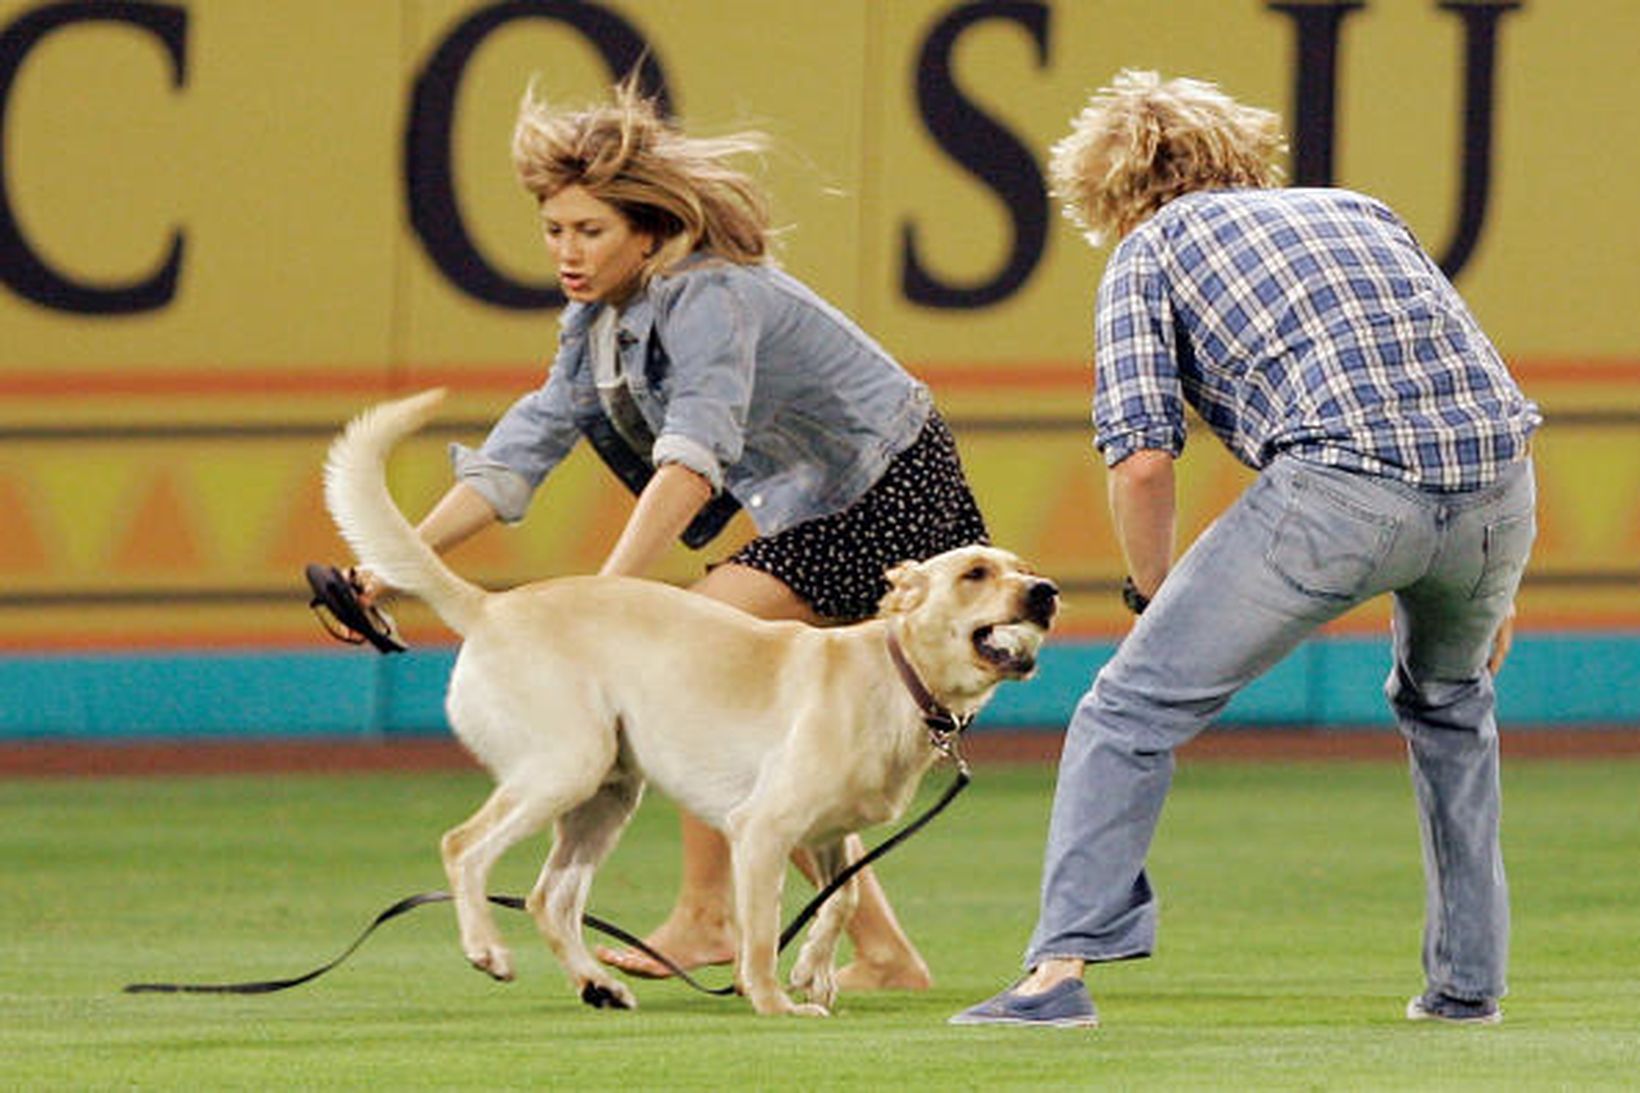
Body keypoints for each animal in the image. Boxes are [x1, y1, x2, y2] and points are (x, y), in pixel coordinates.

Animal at [323, 388, 1062, 1010]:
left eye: (1022, 568)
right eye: (974, 573)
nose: (1047, 591)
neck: (896, 675)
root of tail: (490, 606)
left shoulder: (830, 834)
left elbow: (844, 897)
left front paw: (814, 971)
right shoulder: (762, 828)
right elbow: (761, 933)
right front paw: (775, 1000)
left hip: (606, 795)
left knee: (547, 900)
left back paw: (596, 983)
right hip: (563, 768)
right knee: (463, 847)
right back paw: (487, 948)